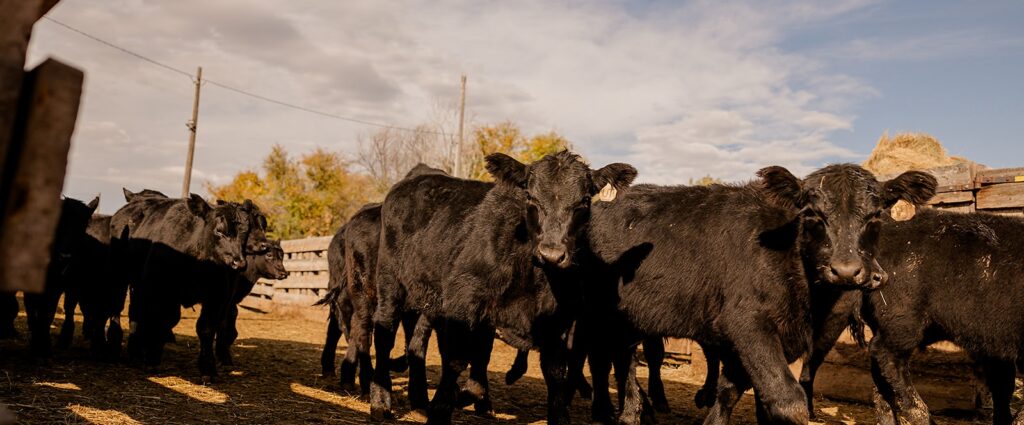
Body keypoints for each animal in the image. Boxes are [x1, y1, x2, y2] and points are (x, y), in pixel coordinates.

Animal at [369, 152, 637, 424]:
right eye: (530, 196)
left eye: (584, 201)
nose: (552, 254)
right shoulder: (464, 300)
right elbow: (457, 358)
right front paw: (443, 409)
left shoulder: (558, 320)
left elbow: (553, 371)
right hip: (390, 280)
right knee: (384, 333)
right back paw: (381, 402)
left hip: (430, 297)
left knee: (417, 342)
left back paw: (420, 399)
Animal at [581, 164, 936, 424]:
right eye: (812, 214)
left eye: (876, 215)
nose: (848, 271)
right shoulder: (747, 324)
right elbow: (787, 400)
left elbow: (733, 391)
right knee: (606, 359)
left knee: (621, 359)